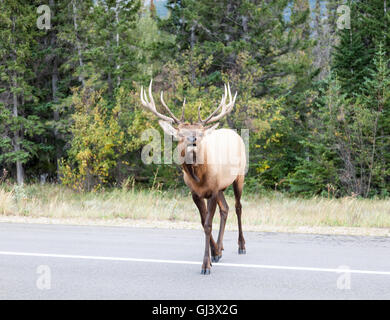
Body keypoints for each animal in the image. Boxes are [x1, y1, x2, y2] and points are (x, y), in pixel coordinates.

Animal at [139, 80, 247, 276]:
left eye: (201, 133)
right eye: (180, 134)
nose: (193, 140)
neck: (200, 178)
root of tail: (235, 134)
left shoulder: (212, 191)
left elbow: (208, 225)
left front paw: (206, 265)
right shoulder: (196, 193)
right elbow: (203, 222)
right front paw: (214, 253)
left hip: (239, 176)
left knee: (238, 207)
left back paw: (241, 246)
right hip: (222, 187)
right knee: (225, 209)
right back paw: (221, 248)